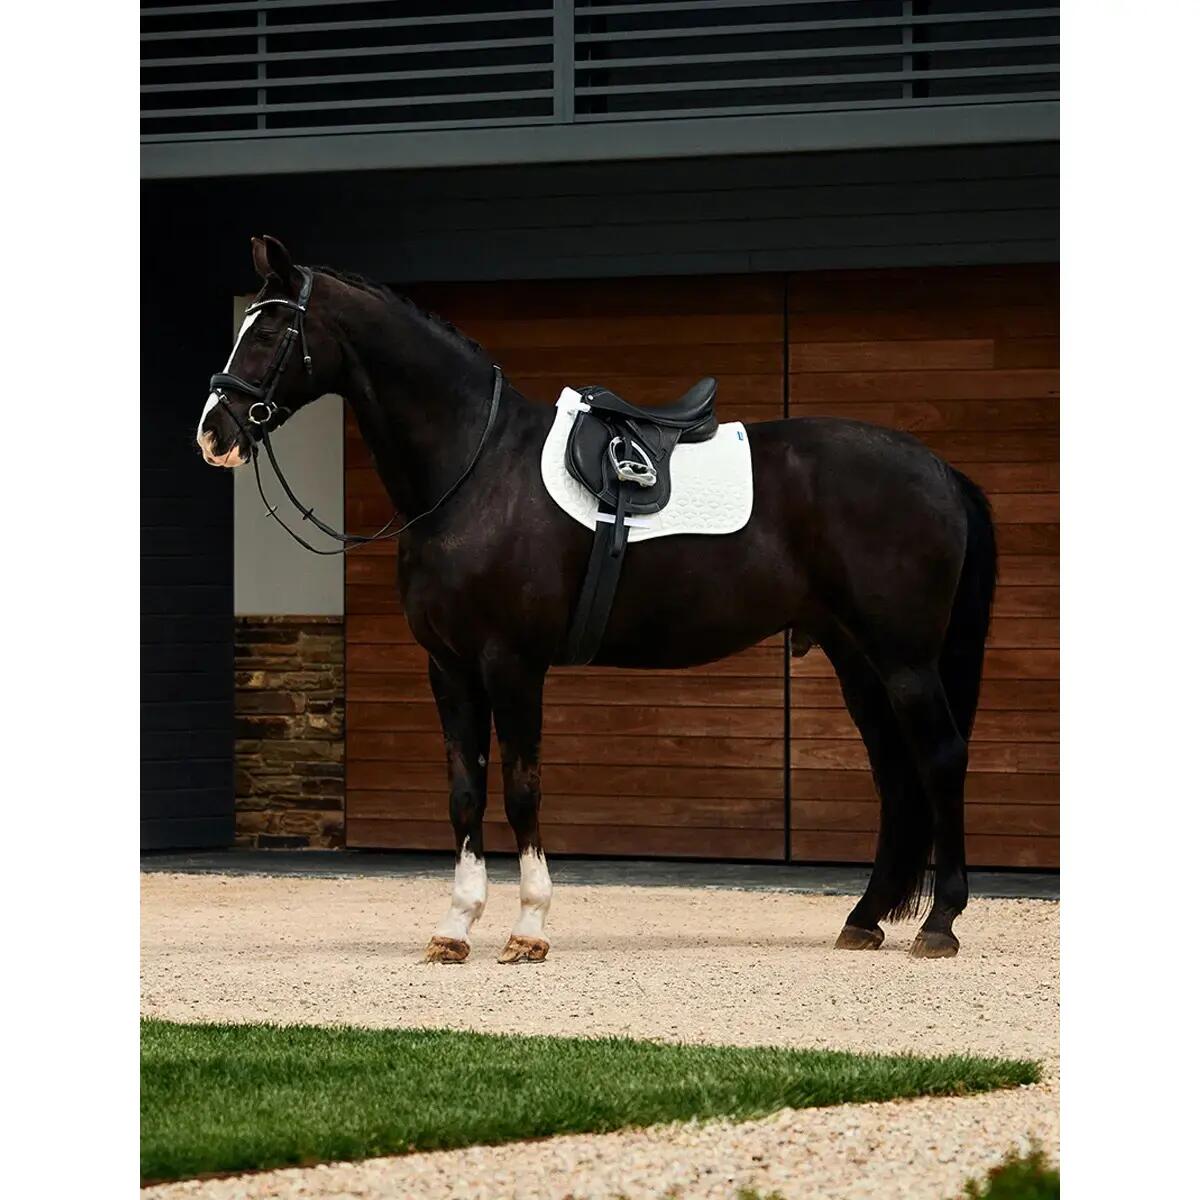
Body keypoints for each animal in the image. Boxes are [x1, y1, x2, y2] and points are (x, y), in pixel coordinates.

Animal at [196, 235, 997, 964]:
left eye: (270, 330)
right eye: (243, 325)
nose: (213, 431)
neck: (476, 472)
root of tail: (942, 471)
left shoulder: (513, 664)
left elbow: (521, 789)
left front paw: (528, 930)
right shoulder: (449, 668)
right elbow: (464, 792)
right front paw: (456, 928)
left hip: (905, 660)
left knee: (940, 759)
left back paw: (940, 924)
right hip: (856, 656)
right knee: (896, 775)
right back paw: (865, 919)